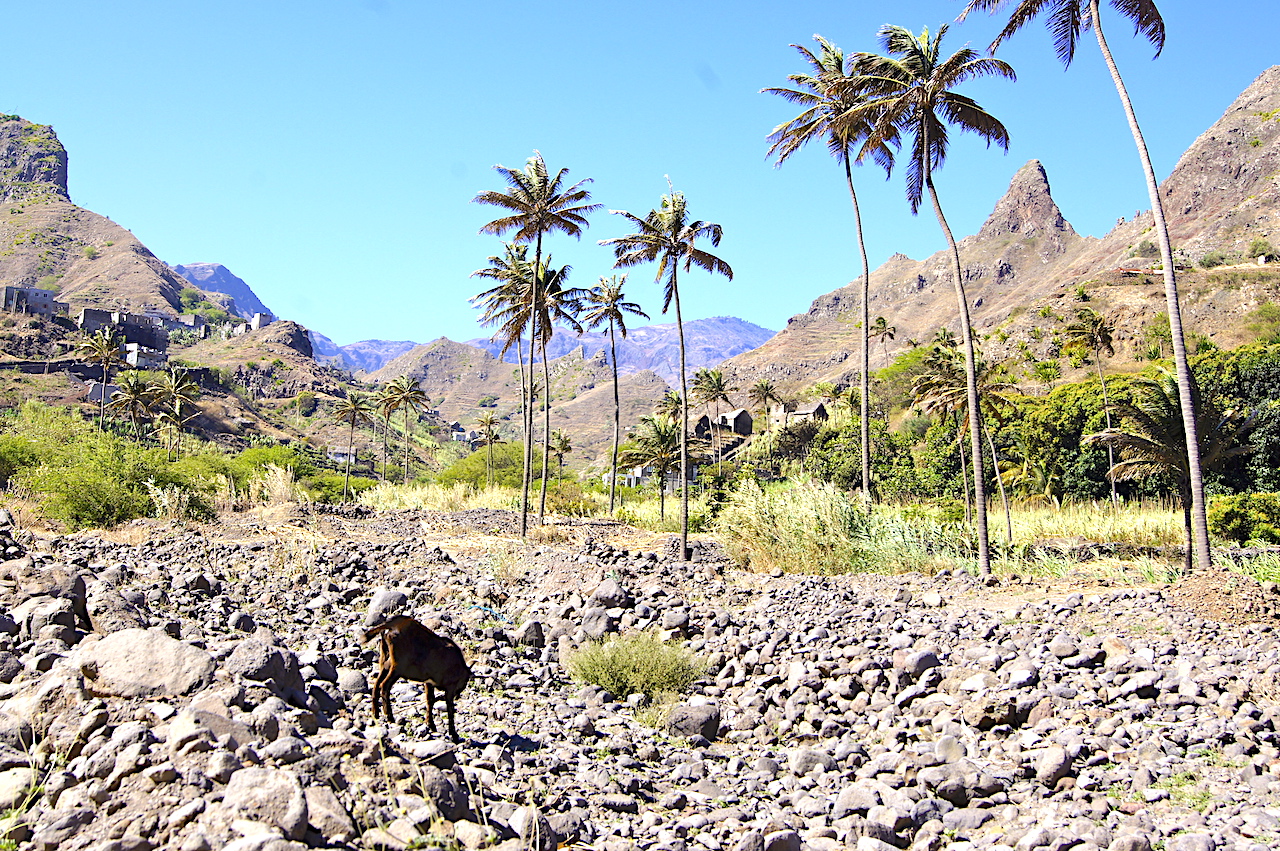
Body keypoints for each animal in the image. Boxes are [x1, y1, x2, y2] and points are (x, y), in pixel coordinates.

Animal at [363, 614, 473, 742]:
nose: (458, 695)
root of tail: (391, 625)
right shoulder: (450, 687)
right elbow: (449, 708)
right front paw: (454, 734)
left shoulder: (429, 682)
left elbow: (430, 700)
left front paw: (431, 725)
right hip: (397, 667)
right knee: (384, 686)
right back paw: (390, 717)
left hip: (385, 661)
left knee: (376, 685)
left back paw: (375, 714)